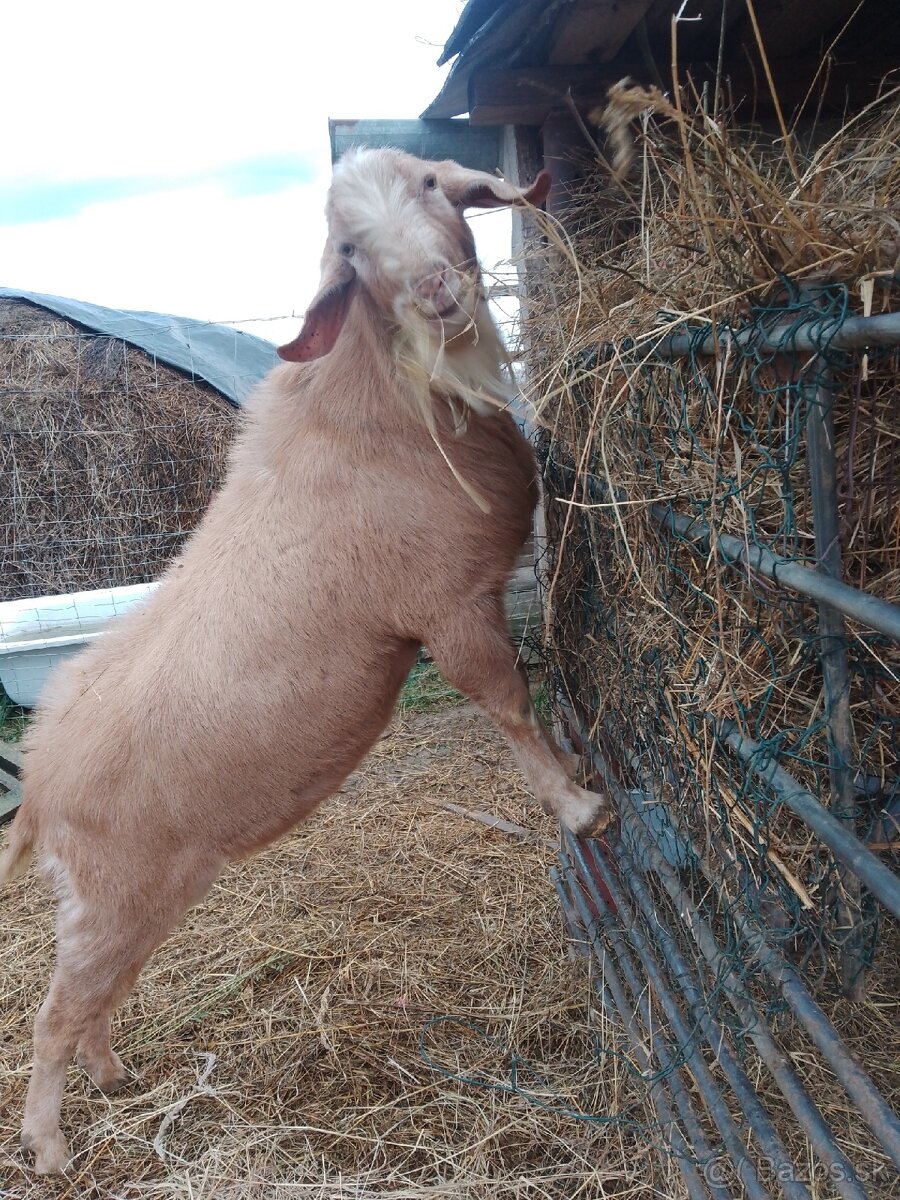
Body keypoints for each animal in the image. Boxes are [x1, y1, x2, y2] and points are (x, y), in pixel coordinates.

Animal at [1, 147, 614, 1171]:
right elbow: (505, 704)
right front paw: (577, 805)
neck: (381, 401)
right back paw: (49, 1146)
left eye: (434, 189)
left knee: (93, 999)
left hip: (136, 898)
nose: (436, 289)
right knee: (50, 1017)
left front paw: (575, 775)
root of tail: (39, 785)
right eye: (350, 250)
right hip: (114, 893)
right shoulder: (444, 605)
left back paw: (111, 1075)